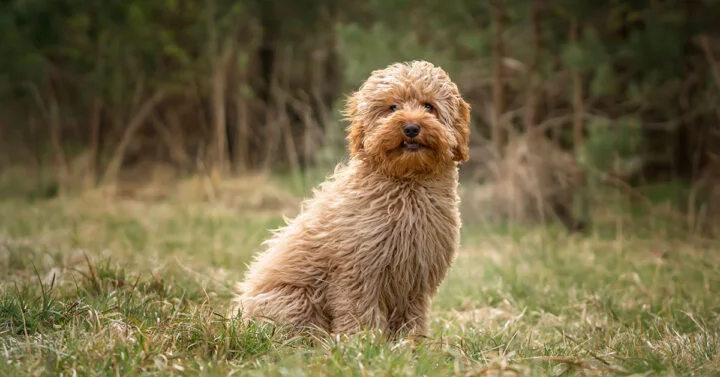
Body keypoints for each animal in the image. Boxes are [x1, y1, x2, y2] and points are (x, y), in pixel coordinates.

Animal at [232, 60, 472, 336]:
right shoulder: (357, 270)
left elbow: (412, 315)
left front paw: (412, 341)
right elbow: (358, 311)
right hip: (295, 298)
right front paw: (361, 339)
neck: (407, 185)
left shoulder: (416, 277)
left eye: (428, 106)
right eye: (393, 107)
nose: (411, 128)